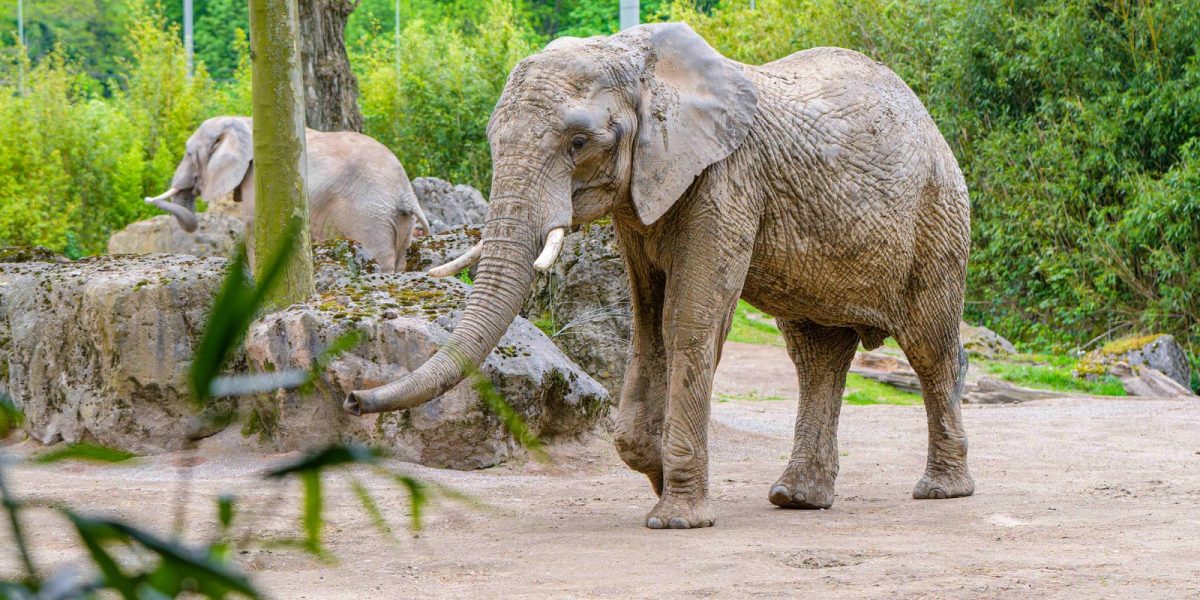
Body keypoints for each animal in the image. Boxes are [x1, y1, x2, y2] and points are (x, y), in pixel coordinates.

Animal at [145, 116, 430, 272]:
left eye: (189, 154)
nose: (148, 198)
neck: (243, 121)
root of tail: (406, 192)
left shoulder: (257, 176)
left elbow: (254, 225)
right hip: (396, 220)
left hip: (368, 216)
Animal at [346, 23, 975, 529]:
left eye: (579, 142)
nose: (351, 398)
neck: (642, 64)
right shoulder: (640, 201)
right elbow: (648, 327)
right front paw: (653, 474)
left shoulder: (728, 178)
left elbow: (688, 323)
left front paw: (676, 517)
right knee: (815, 355)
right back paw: (797, 499)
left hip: (939, 215)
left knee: (929, 346)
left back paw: (941, 491)